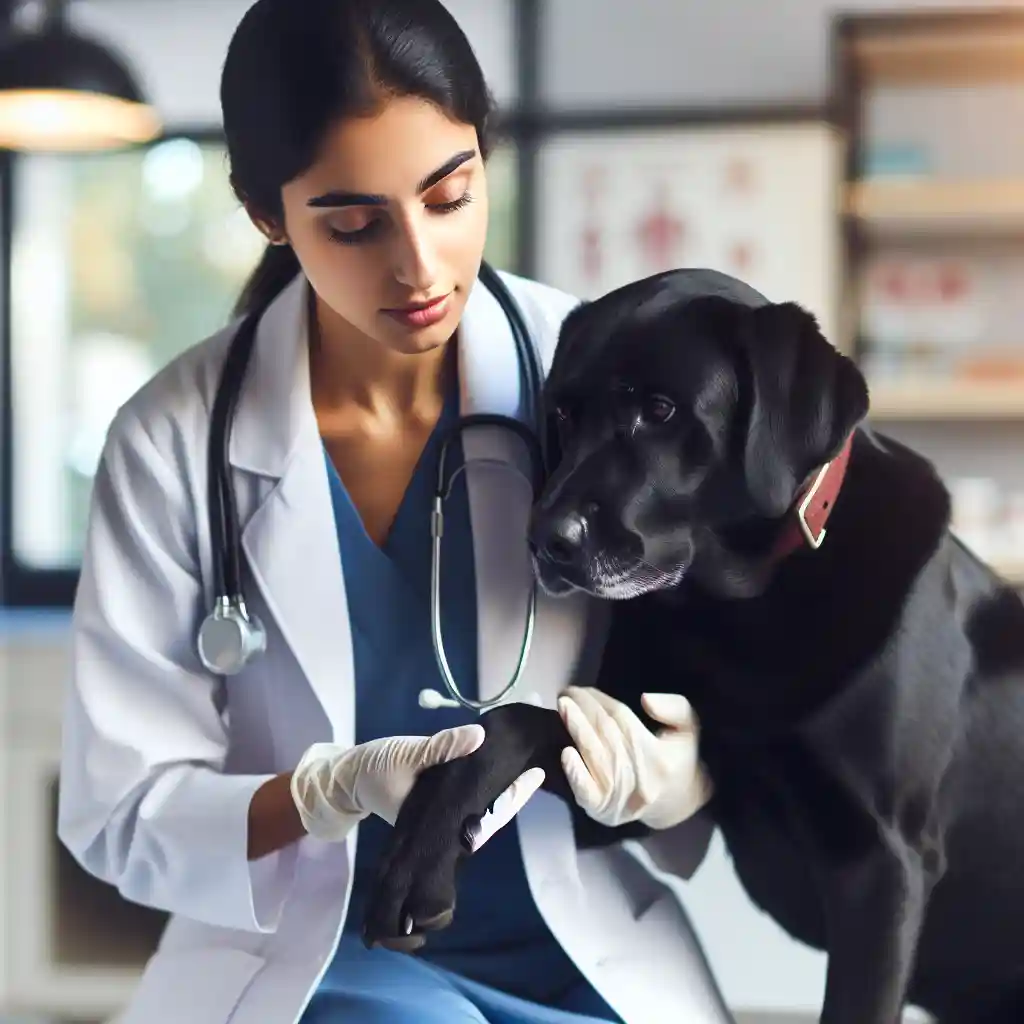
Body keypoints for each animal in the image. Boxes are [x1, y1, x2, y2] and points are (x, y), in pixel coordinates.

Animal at [358, 268, 1024, 1019]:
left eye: (660, 410)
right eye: (563, 414)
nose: (545, 541)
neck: (738, 614)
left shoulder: (883, 864)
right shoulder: (629, 768)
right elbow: (506, 724)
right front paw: (416, 858)